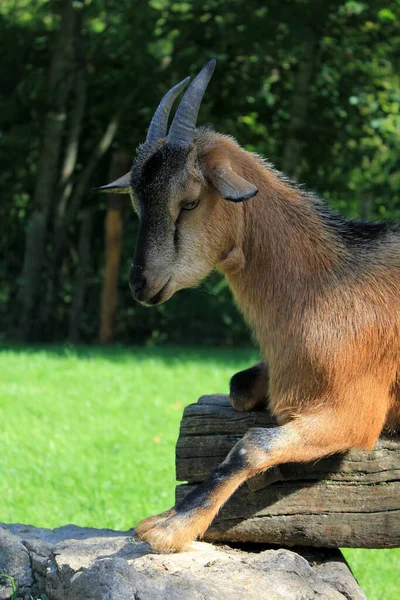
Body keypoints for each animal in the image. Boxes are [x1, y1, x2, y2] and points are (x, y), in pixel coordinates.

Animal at [97, 61, 400, 552]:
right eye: (137, 203)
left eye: (189, 202)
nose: (141, 283)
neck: (326, 284)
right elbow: (239, 386)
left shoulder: (353, 409)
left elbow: (251, 445)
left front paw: (171, 525)